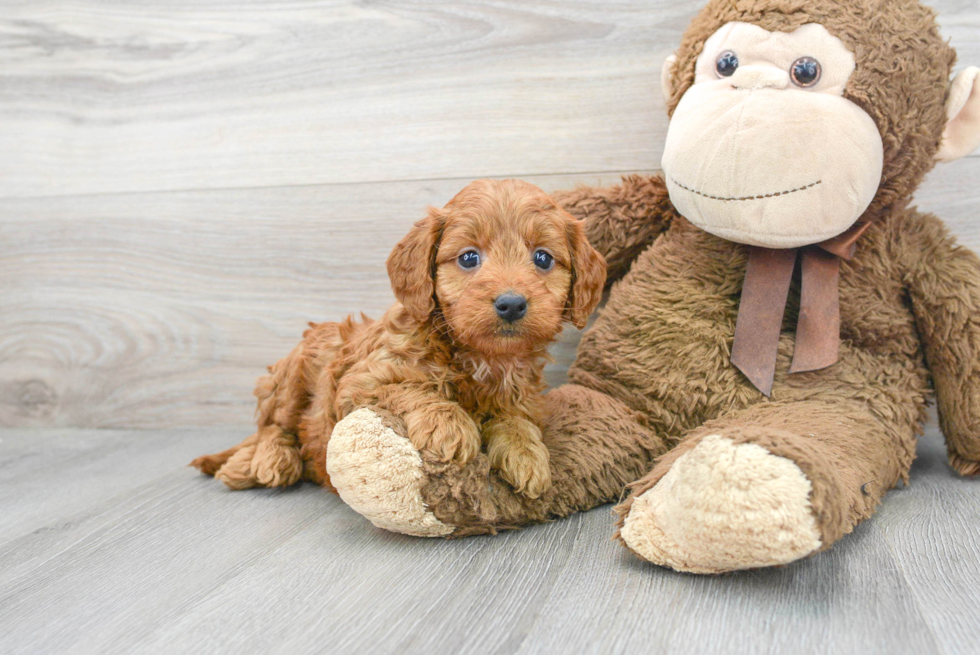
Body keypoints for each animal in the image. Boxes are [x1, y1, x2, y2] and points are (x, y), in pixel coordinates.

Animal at [190, 178, 604, 498]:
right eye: (469, 258)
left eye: (543, 258)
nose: (511, 304)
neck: (482, 357)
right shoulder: (360, 382)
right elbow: (411, 388)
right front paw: (448, 425)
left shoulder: (521, 399)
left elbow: (514, 419)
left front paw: (527, 456)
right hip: (298, 368)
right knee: (273, 426)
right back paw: (267, 460)